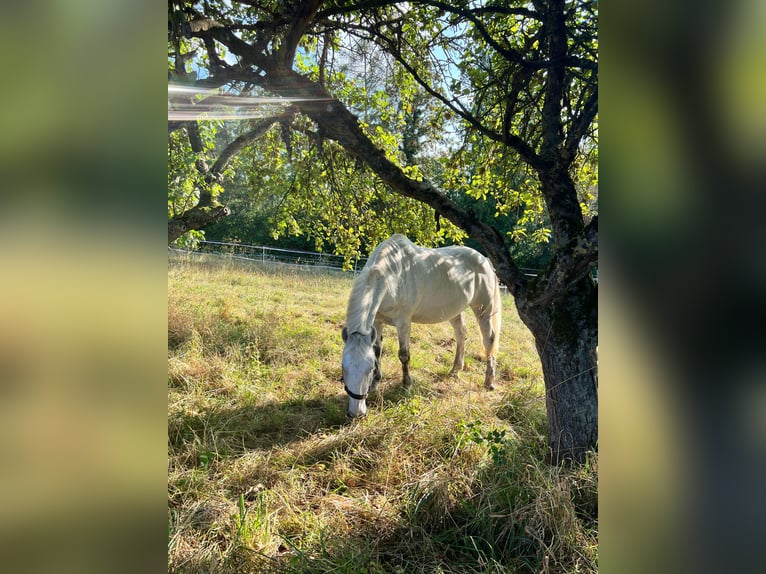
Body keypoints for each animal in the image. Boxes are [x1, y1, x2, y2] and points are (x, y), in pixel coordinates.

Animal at [344, 234, 504, 418]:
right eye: (344, 369)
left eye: (368, 370)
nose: (356, 413)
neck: (391, 275)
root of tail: (484, 259)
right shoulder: (377, 321)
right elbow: (377, 351)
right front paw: (375, 384)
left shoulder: (403, 322)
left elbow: (404, 355)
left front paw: (406, 386)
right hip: (454, 310)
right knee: (461, 333)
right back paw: (455, 370)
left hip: (484, 308)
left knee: (489, 340)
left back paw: (489, 382)